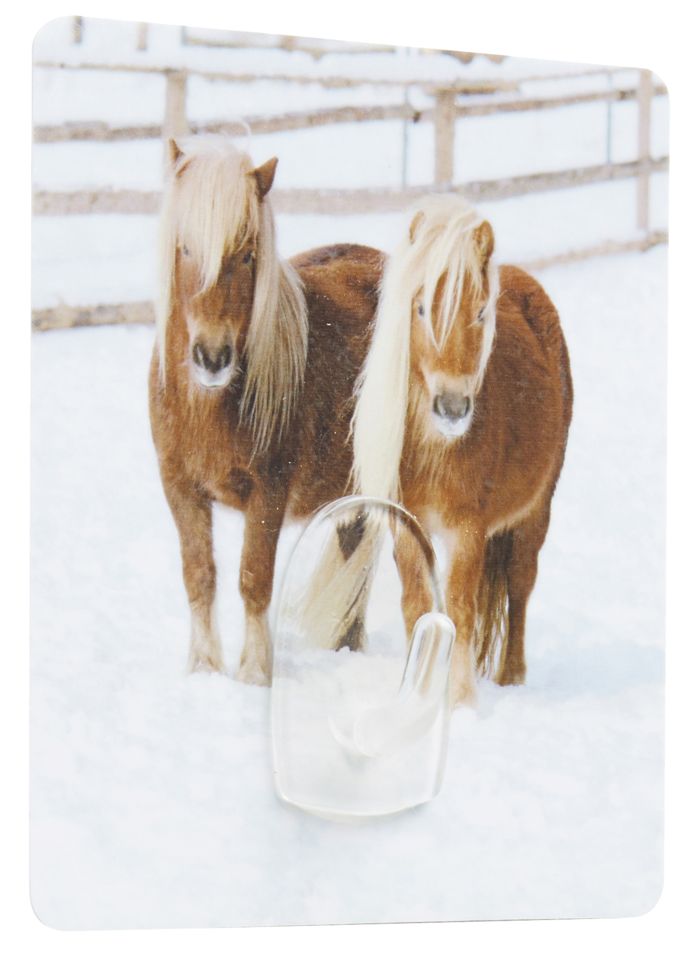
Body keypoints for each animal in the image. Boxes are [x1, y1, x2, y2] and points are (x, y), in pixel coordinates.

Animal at [149, 136, 383, 684]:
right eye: (185, 248)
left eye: (247, 255)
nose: (212, 357)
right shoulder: (179, 486)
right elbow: (199, 575)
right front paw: (203, 669)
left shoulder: (269, 490)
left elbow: (253, 578)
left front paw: (254, 672)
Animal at [351, 195, 573, 706]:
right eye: (419, 309)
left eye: (479, 313)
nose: (452, 406)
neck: (434, 446)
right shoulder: (407, 524)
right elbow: (417, 605)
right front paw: (416, 695)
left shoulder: (469, 528)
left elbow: (459, 608)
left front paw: (460, 702)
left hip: (536, 513)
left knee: (520, 587)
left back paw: (511, 678)